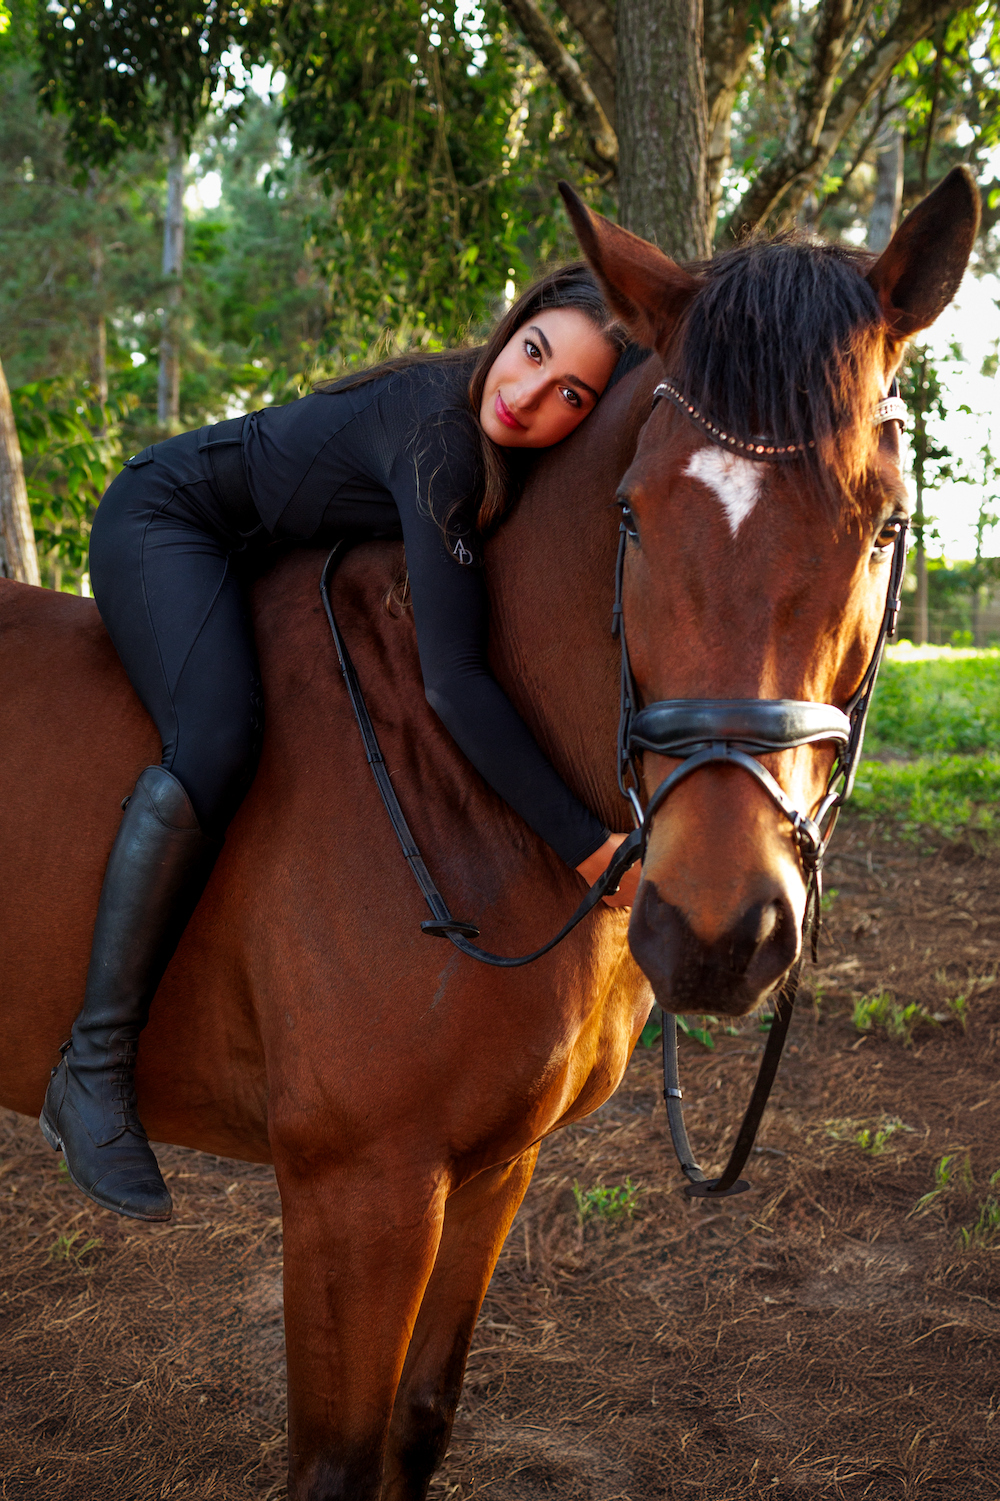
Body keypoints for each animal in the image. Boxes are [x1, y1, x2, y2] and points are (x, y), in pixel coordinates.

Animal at [0, 167, 978, 1500]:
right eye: (631, 513)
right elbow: (337, 1465)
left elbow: (420, 1423)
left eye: (883, 525)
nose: (716, 929)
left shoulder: (492, 1169)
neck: (461, 778)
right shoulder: (358, 1193)